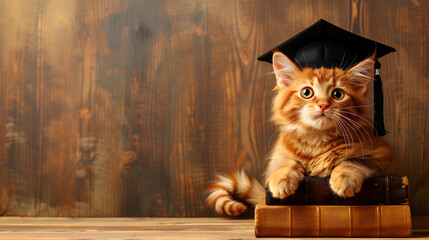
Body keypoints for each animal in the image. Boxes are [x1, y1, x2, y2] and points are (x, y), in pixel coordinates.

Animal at [206, 50, 392, 216]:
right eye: (307, 92)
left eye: (337, 94)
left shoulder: (381, 158)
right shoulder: (278, 155)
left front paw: (345, 178)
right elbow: (285, 162)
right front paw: (282, 180)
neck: (317, 140)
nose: (323, 105)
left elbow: (353, 160)